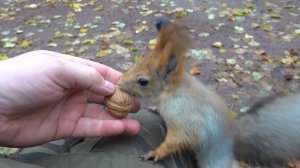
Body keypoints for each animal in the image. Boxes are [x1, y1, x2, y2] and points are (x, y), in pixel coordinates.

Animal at [116, 19, 300, 167]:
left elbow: (181, 139)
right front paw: (155, 109)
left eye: (143, 81)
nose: (119, 82)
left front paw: (156, 152)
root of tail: (232, 141)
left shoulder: (188, 120)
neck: (172, 95)